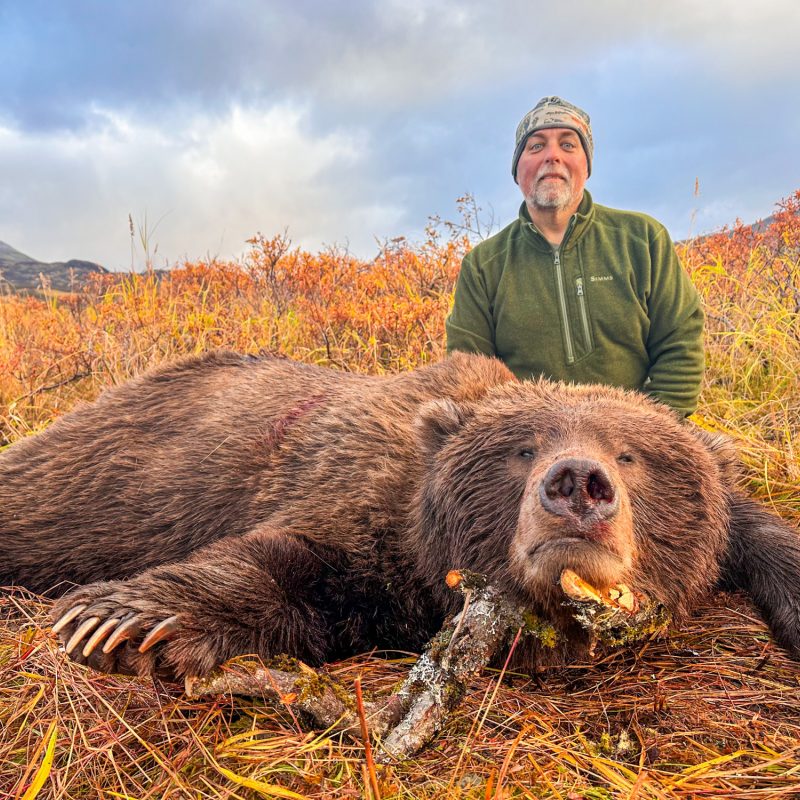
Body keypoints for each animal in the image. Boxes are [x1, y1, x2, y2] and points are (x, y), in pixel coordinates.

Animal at [1, 350, 799, 681]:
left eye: (632, 455)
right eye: (521, 449)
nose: (577, 482)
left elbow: (755, 530)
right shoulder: (367, 514)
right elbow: (286, 562)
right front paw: (119, 620)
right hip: (89, 477)